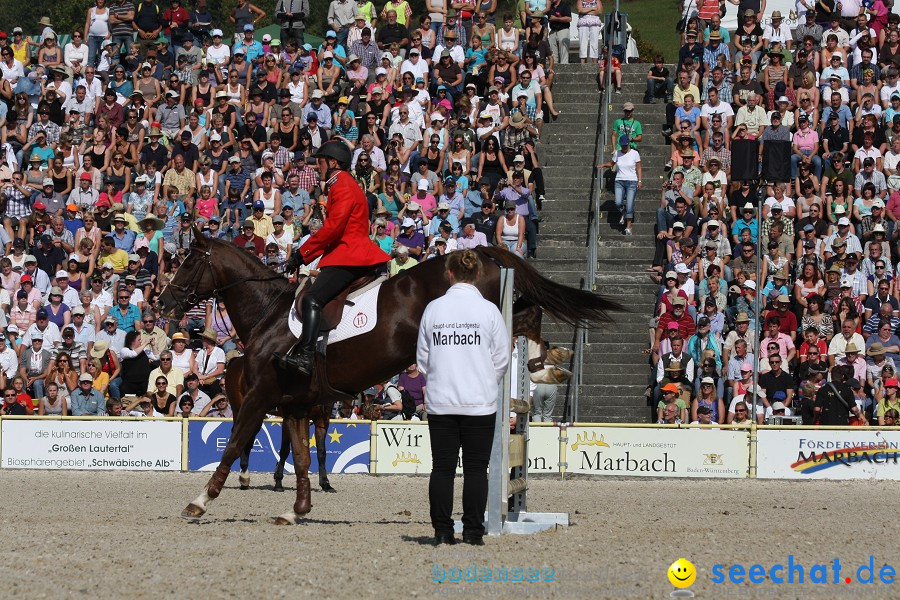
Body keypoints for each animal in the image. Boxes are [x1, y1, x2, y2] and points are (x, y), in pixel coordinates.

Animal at [158, 231, 624, 524]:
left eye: (188, 262)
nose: (163, 300)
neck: (268, 314)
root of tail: (482, 253)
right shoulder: (296, 406)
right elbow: (303, 458)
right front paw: (296, 510)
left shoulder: (258, 397)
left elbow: (236, 442)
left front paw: (199, 502)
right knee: (530, 312)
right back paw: (550, 361)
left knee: (528, 315)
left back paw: (548, 363)